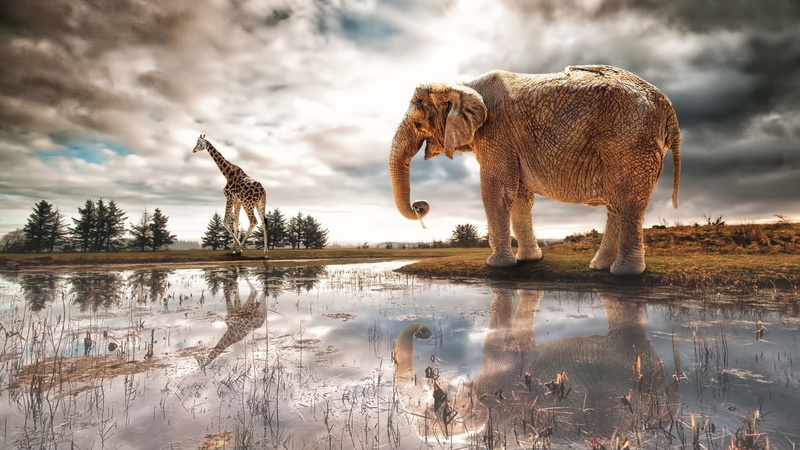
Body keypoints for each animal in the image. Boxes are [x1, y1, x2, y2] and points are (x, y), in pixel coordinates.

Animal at [389, 65, 681, 275]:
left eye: (418, 124)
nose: (420, 206)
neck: (464, 85)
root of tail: (667, 105)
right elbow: (520, 195)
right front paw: (529, 260)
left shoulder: (497, 132)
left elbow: (497, 191)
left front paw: (497, 265)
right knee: (617, 205)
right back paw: (599, 267)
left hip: (630, 141)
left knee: (628, 203)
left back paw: (625, 274)